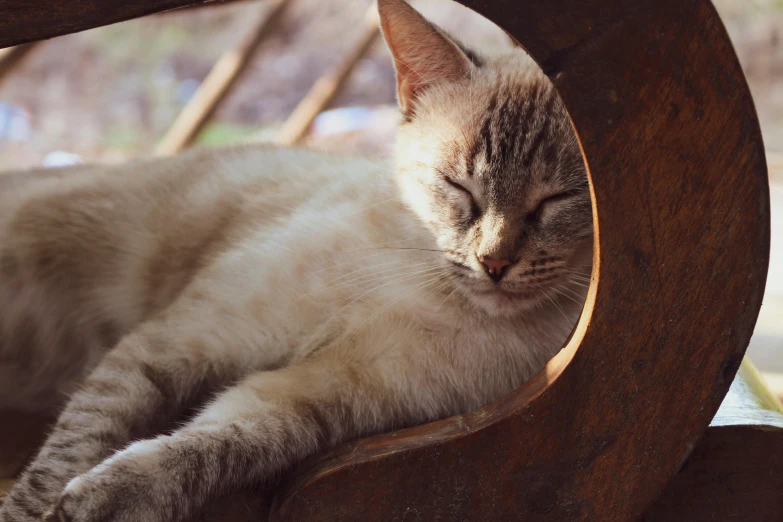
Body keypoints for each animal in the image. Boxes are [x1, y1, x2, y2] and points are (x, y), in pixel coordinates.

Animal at [0, 1, 588, 520]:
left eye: (555, 200)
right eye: (458, 187)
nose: (494, 263)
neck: (427, 294)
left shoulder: (315, 399)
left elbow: (204, 447)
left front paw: (105, 498)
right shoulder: (182, 341)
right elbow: (67, 455)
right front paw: (38, 510)